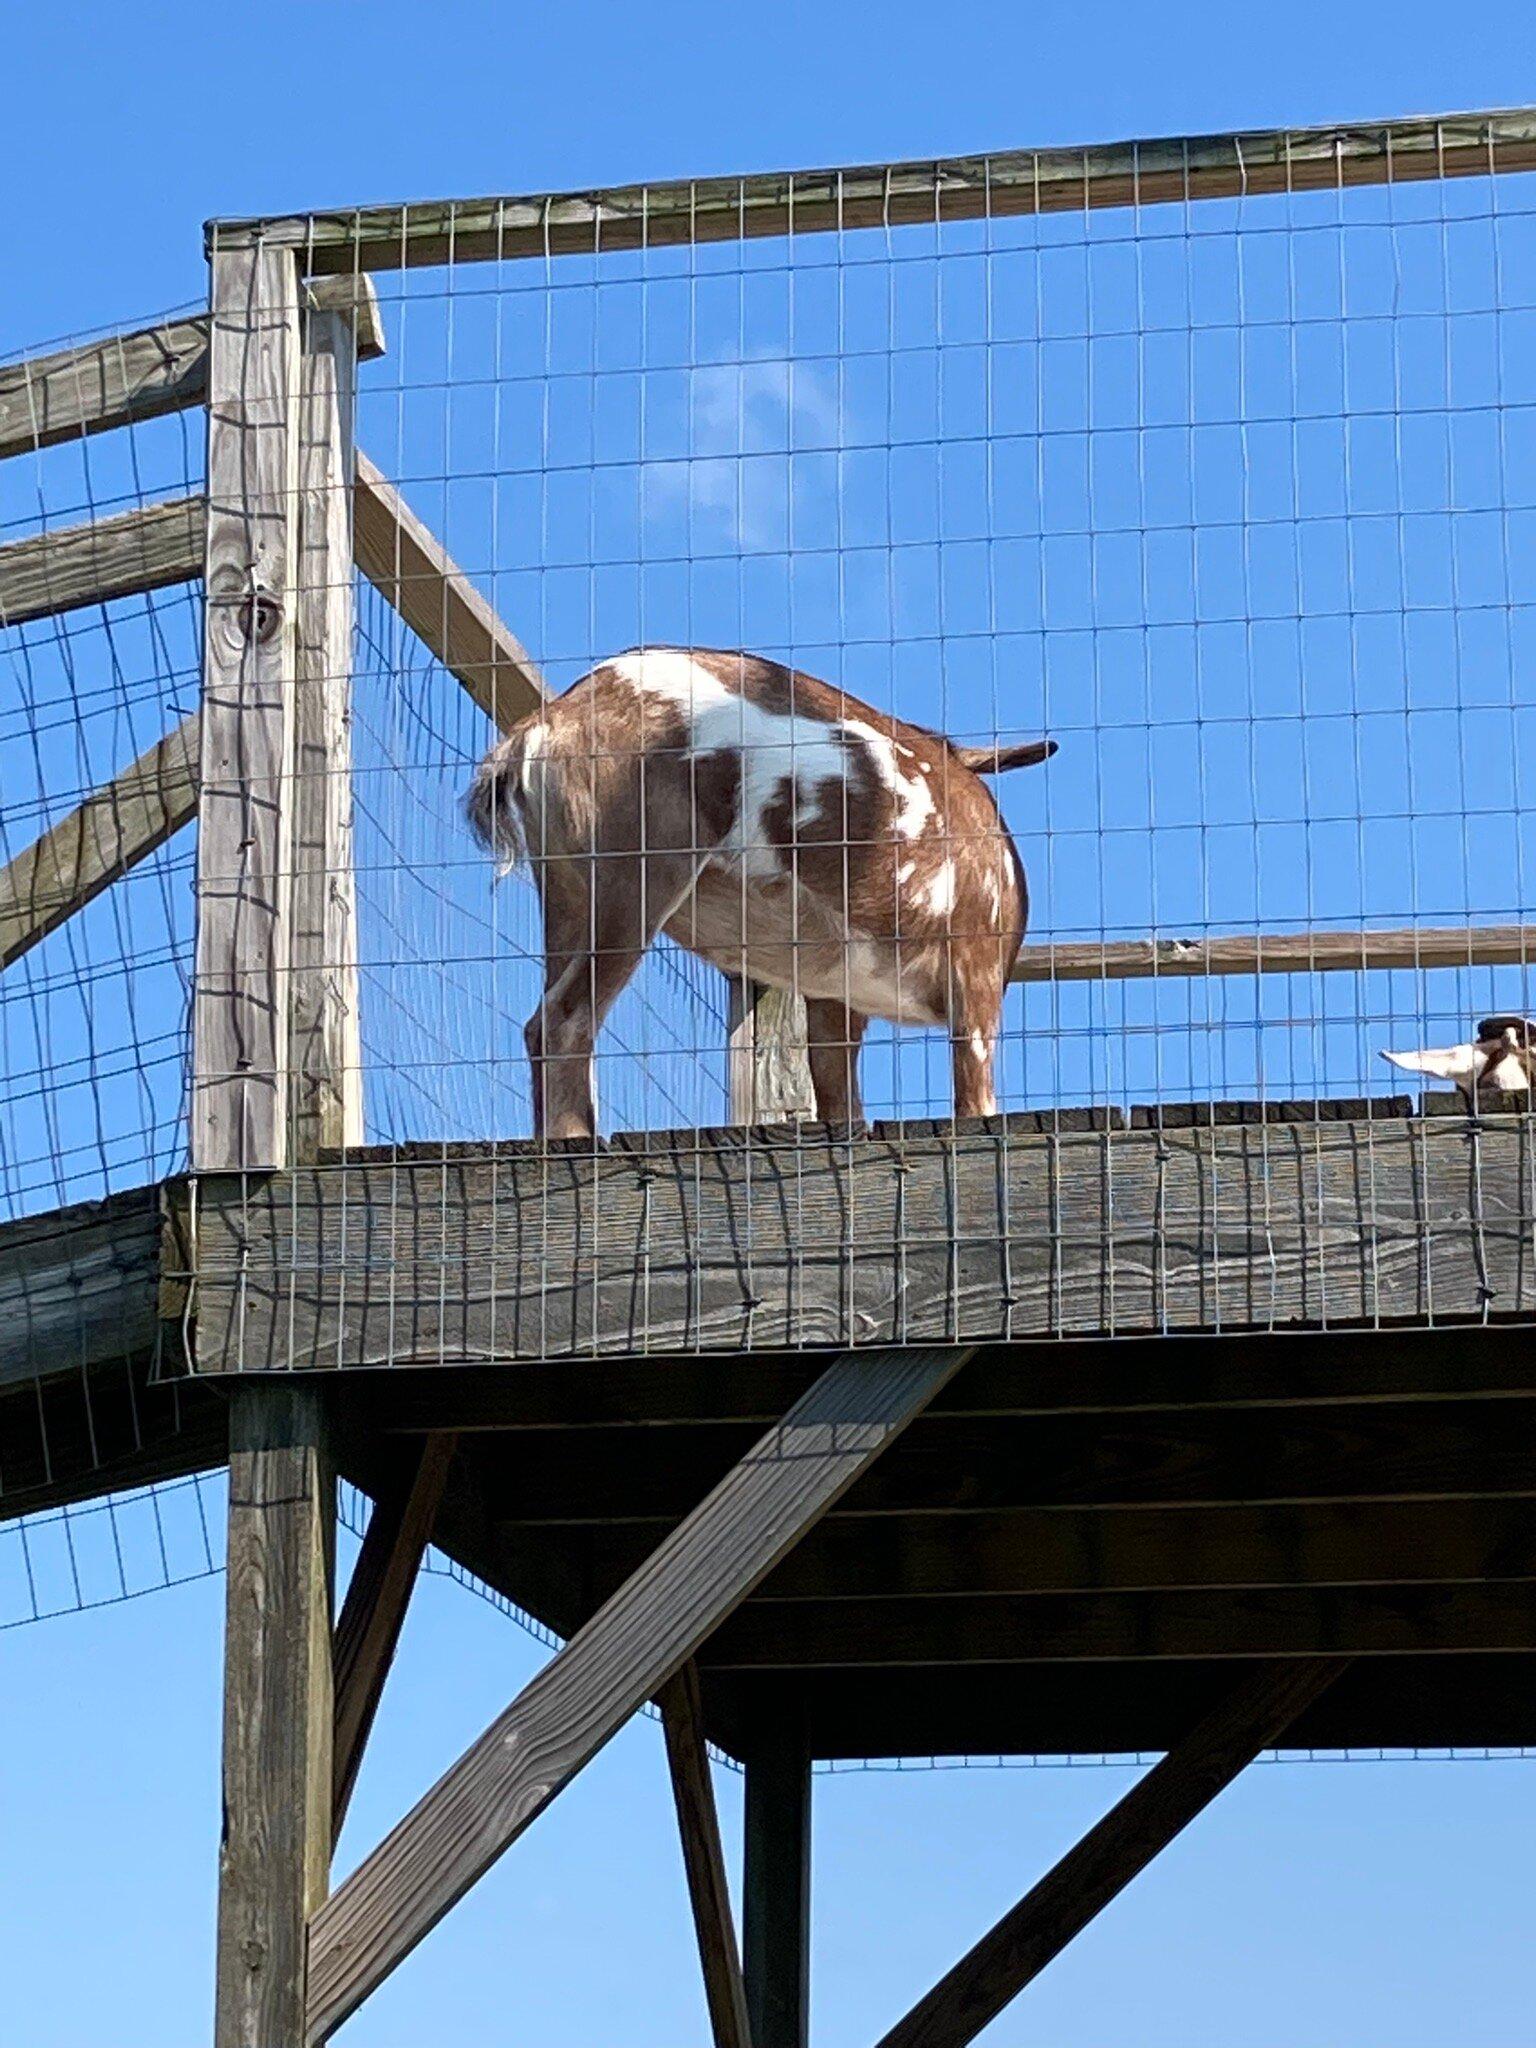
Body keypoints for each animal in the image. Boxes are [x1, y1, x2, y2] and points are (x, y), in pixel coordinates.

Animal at [462, 647, 1056, 1138]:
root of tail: (549, 722)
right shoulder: (974, 975)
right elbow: (973, 1101)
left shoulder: (836, 995)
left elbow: (840, 1100)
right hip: (635, 874)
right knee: (564, 1020)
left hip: (565, 891)